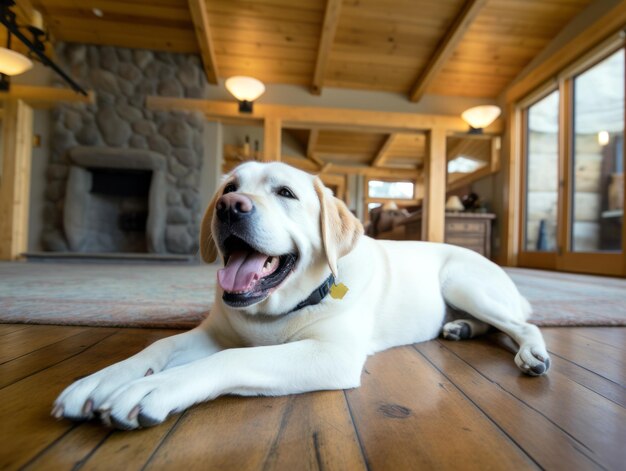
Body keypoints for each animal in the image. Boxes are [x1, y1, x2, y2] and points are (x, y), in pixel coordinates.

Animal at [54, 162, 552, 432]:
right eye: (230, 188)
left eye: (286, 193)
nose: (229, 207)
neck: (275, 309)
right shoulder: (215, 331)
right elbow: (158, 346)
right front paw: (103, 380)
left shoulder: (330, 354)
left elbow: (228, 359)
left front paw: (156, 387)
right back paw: (461, 327)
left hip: (461, 281)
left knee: (522, 324)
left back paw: (530, 354)